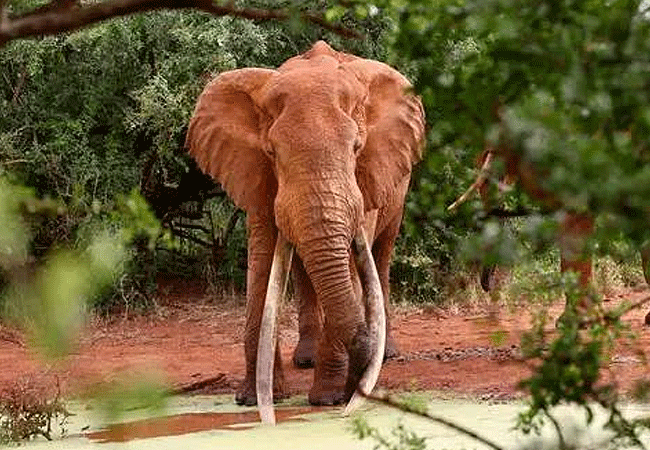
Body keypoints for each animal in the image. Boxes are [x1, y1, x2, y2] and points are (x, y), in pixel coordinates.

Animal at [185, 41, 425, 416]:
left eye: (356, 148)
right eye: (271, 152)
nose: (356, 386)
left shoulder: (366, 179)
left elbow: (353, 266)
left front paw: (328, 398)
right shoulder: (259, 178)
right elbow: (262, 264)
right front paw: (251, 398)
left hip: (398, 192)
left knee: (382, 254)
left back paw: (386, 353)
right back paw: (307, 359)